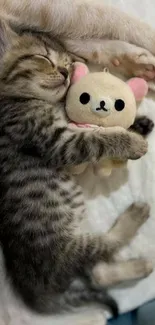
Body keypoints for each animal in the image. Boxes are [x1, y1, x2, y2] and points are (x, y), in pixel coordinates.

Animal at [0, 21, 151, 316]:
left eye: (68, 65)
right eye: (43, 58)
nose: (65, 72)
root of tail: (31, 288)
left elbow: (96, 128)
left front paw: (138, 124)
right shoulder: (57, 142)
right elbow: (96, 139)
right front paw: (132, 142)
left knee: (98, 273)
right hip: (64, 249)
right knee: (101, 249)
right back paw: (135, 220)